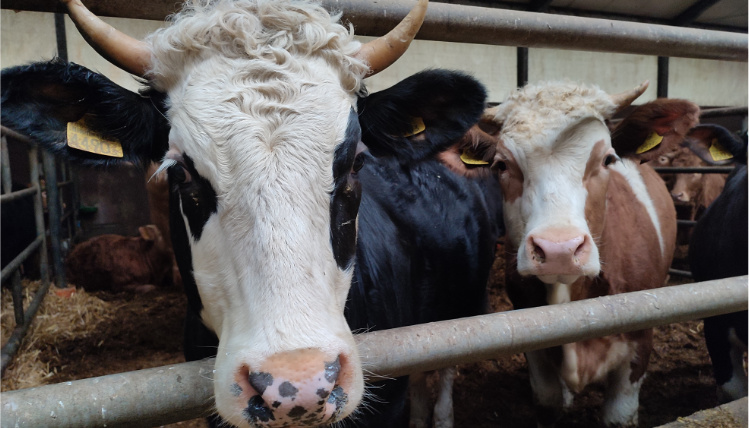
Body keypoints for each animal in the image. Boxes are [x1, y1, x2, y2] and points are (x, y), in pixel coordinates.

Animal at [482, 82, 692, 426]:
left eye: (607, 159)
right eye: (501, 164)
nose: (559, 250)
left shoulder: (640, 341)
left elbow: (619, 415)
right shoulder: (534, 346)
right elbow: (548, 401)